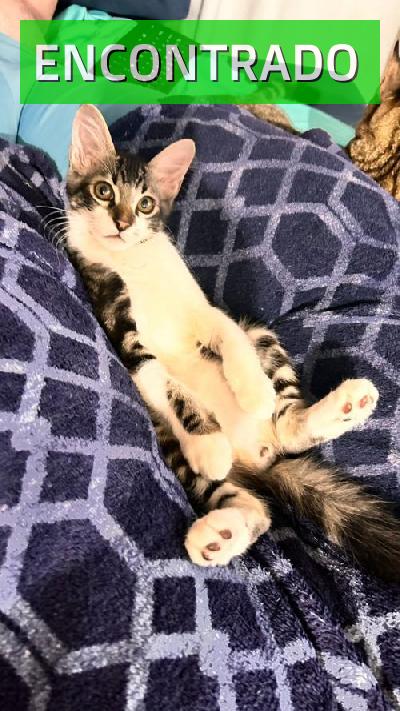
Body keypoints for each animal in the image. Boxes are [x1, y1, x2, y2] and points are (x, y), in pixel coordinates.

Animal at [65, 104, 400, 581]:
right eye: (102, 191)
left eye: (145, 203)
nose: (122, 223)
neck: (134, 261)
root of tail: (259, 460)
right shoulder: (115, 317)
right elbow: (159, 378)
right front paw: (207, 442)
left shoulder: (204, 309)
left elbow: (227, 333)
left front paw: (254, 390)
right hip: (173, 448)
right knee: (253, 508)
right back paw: (219, 532)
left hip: (262, 335)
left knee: (285, 427)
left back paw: (341, 406)